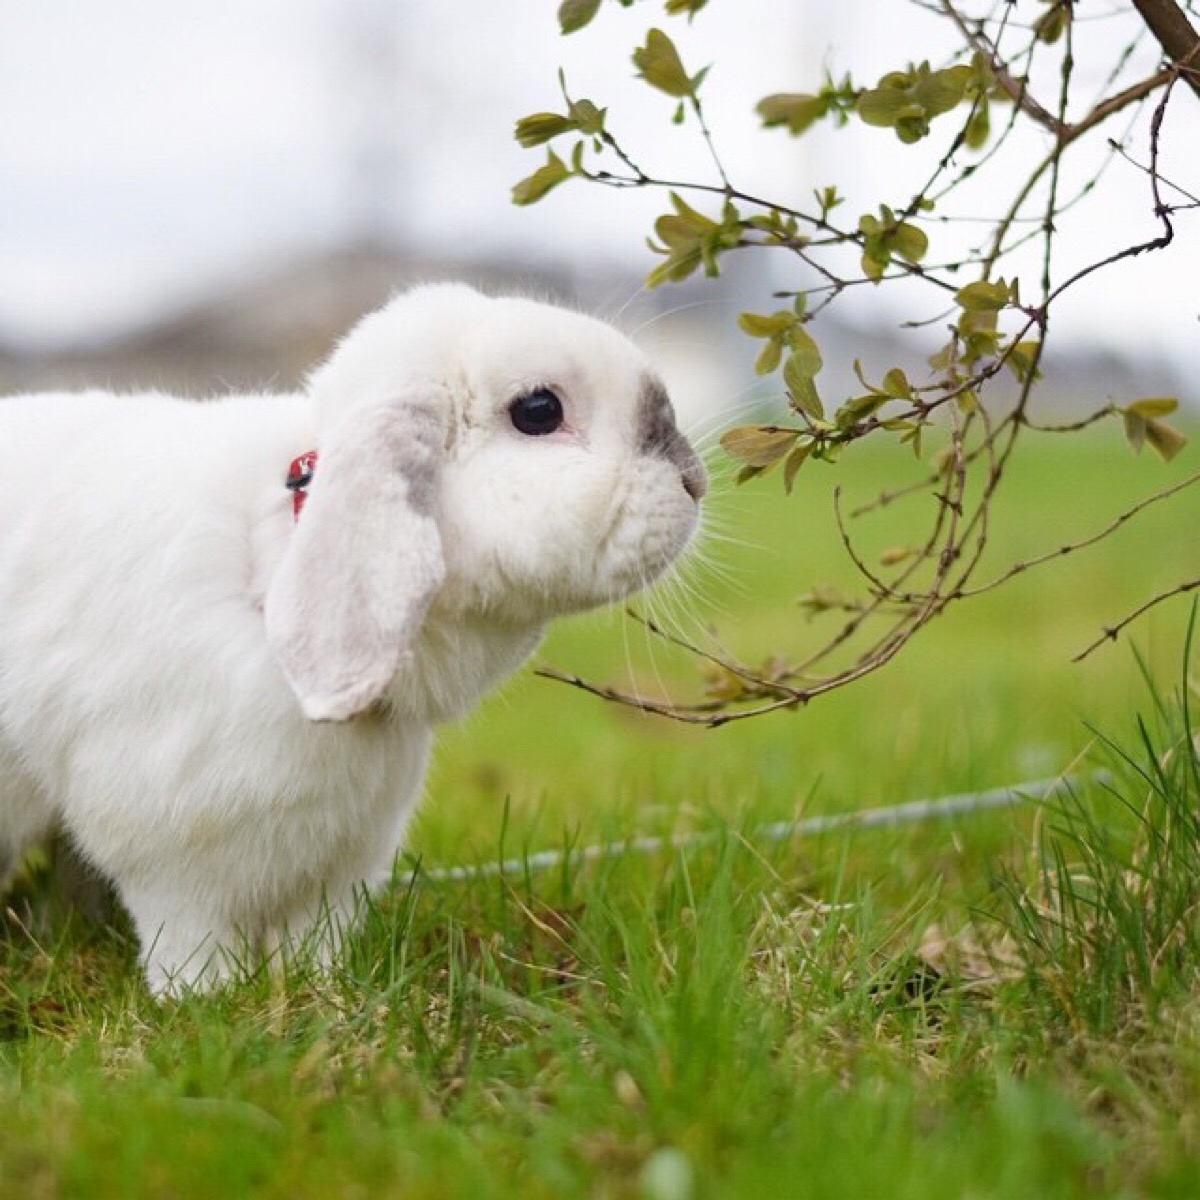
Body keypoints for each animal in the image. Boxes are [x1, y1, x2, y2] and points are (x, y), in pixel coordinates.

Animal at [0, 283, 705, 993]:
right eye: (538, 410)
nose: (696, 480)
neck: (274, 558)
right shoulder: (174, 858)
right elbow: (192, 945)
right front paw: (204, 1001)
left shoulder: (342, 864)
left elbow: (314, 940)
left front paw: (319, 993)